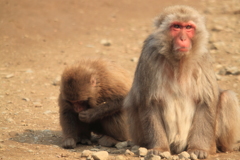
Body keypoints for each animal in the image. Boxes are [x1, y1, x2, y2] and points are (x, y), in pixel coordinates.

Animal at [124, 4, 240, 159]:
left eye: (188, 27)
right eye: (177, 26)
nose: (183, 38)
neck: (178, 61)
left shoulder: (202, 58)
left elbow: (205, 100)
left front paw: (198, 148)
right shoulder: (149, 56)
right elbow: (149, 102)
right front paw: (159, 148)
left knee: (227, 97)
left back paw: (220, 147)